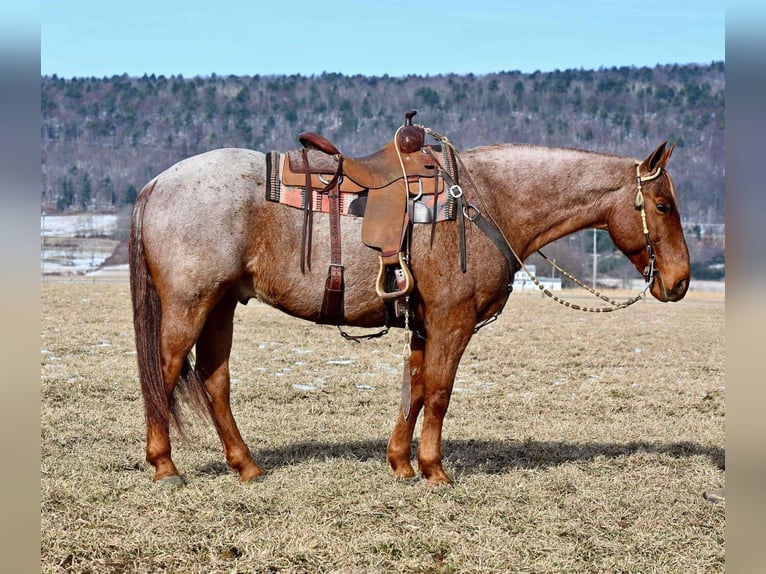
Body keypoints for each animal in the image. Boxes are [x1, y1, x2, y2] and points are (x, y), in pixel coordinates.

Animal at [129, 119, 692, 488]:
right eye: (663, 205)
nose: (680, 281)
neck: (485, 200)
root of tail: (157, 182)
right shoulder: (451, 321)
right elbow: (439, 391)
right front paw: (434, 470)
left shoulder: (423, 325)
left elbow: (416, 388)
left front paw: (401, 463)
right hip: (191, 304)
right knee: (164, 370)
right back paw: (165, 466)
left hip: (222, 304)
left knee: (214, 381)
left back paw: (245, 465)